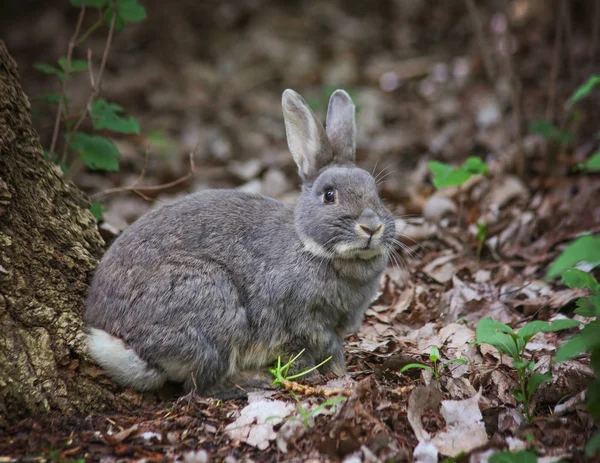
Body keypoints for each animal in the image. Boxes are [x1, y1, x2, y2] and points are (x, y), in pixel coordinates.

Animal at [84, 89, 394, 398]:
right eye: (329, 195)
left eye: (376, 193)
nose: (371, 226)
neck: (310, 246)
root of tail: (132, 346)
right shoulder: (304, 322)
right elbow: (320, 349)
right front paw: (328, 375)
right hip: (213, 305)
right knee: (202, 385)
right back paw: (257, 380)